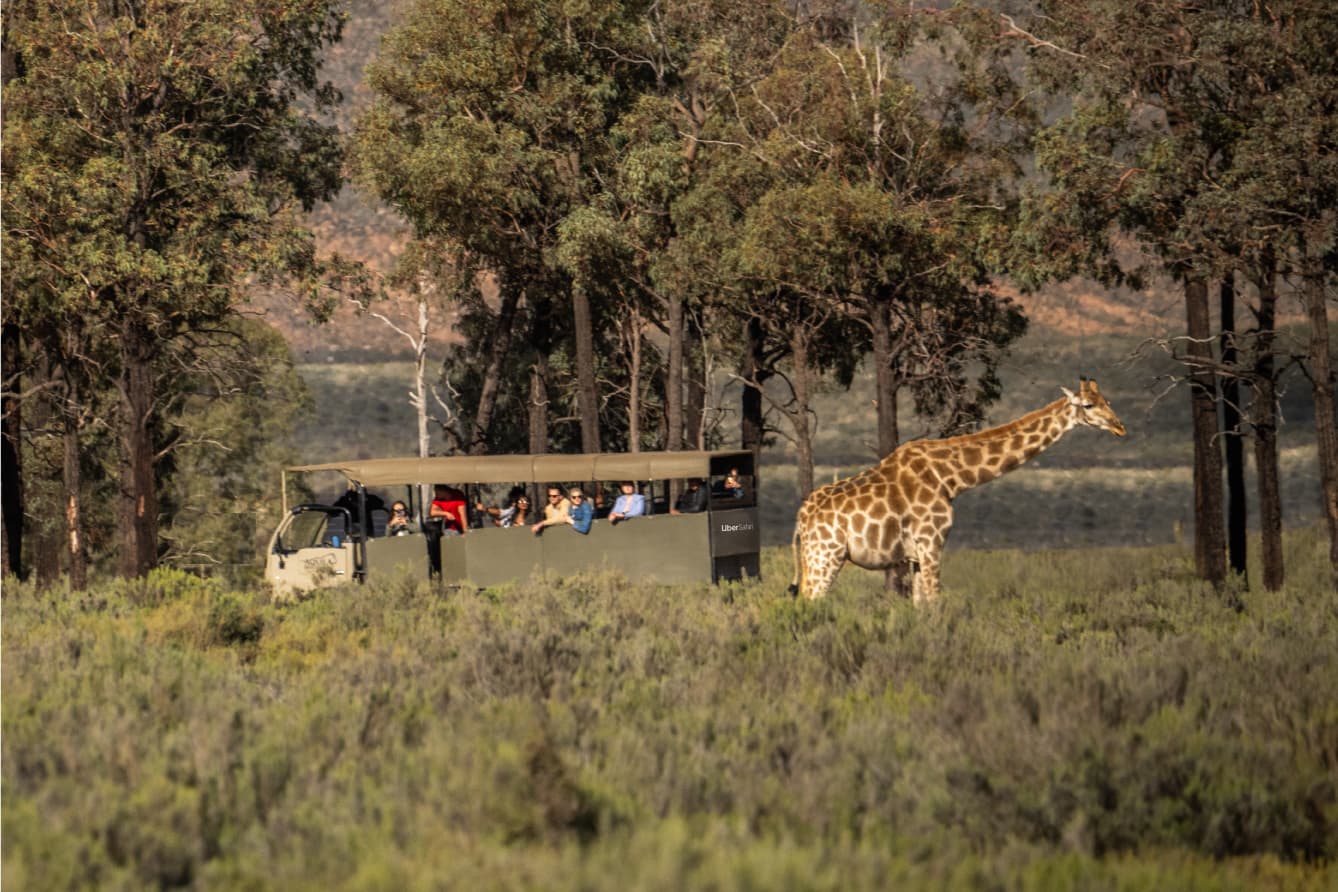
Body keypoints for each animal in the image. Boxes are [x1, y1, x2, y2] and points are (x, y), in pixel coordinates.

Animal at [789, 378, 1126, 603]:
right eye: (1088, 405)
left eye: (1108, 400)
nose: (1120, 427)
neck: (951, 478)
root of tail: (801, 519)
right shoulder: (931, 543)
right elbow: (936, 603)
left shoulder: (915, 555)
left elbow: (922, 606)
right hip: (826, 556)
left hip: (815, 557)